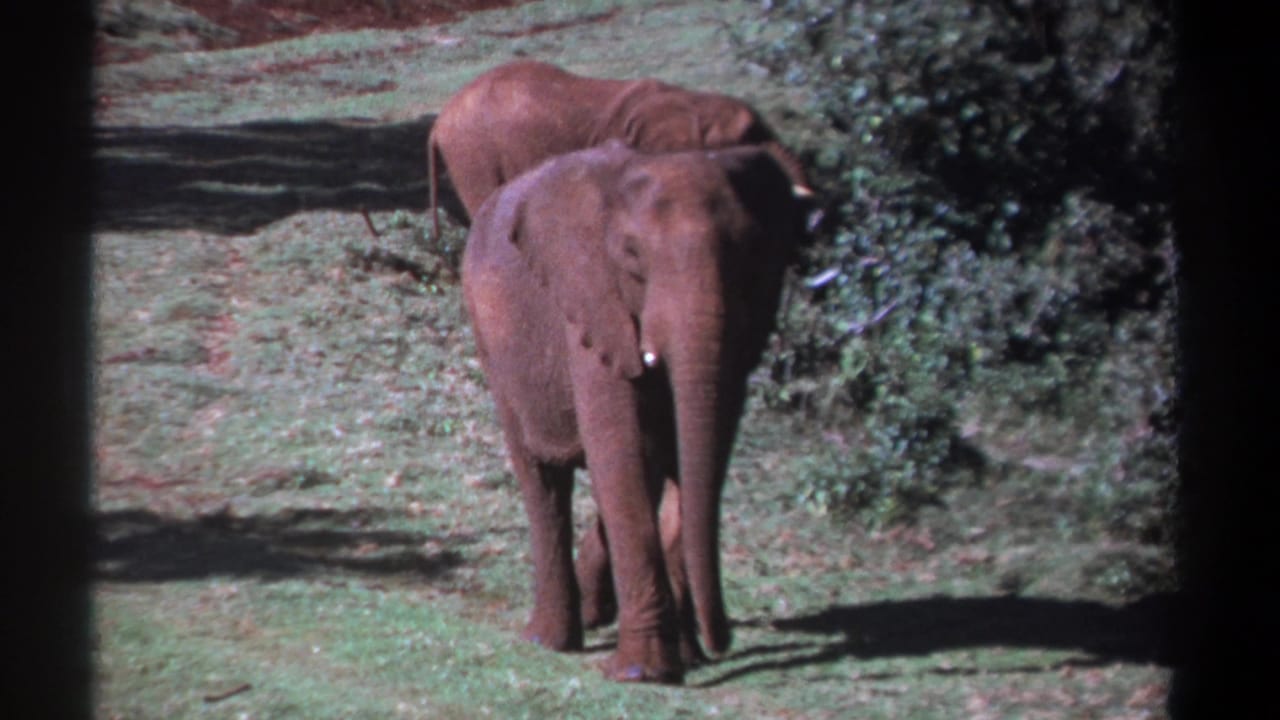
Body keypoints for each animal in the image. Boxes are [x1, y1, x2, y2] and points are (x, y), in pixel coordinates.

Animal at [460, 140, 805, 683]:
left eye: (751, 254)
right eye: (632, 258)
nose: (722, 640)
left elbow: (681, 458)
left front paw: (683, 657)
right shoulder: (593, 305)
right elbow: (625, 452)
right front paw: (645, 673)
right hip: (491, 339)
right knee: (543, 479)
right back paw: (549, 640)